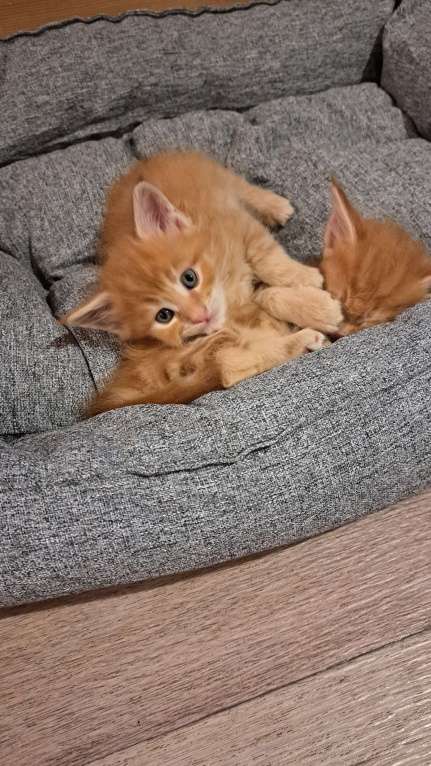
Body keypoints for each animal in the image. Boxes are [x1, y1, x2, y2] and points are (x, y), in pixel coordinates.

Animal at [62, 151, 342, 413]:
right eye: (163, 316)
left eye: (189, 278)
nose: (201, 316)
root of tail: (134, 169)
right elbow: (265, 297)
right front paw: (321, 308)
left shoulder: (239, 226)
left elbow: (267, 258)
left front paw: (305, 279)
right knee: (229, 367)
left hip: (213, 174)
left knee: (241, 186)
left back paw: (276, 205)